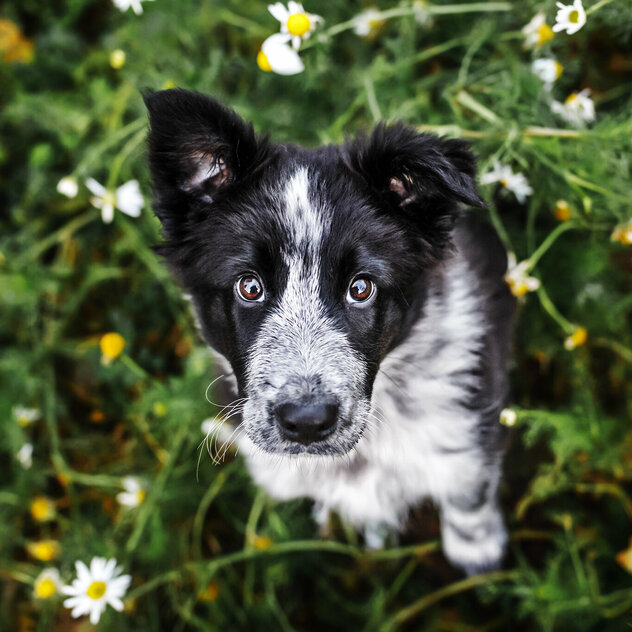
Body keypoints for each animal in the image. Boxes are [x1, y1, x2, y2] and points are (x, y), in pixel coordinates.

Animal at [143, 89, 512, 576]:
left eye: (361, 288)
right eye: (249, 286)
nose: (306, 422)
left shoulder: (468, 431)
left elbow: (468, 493)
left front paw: (478, 554)